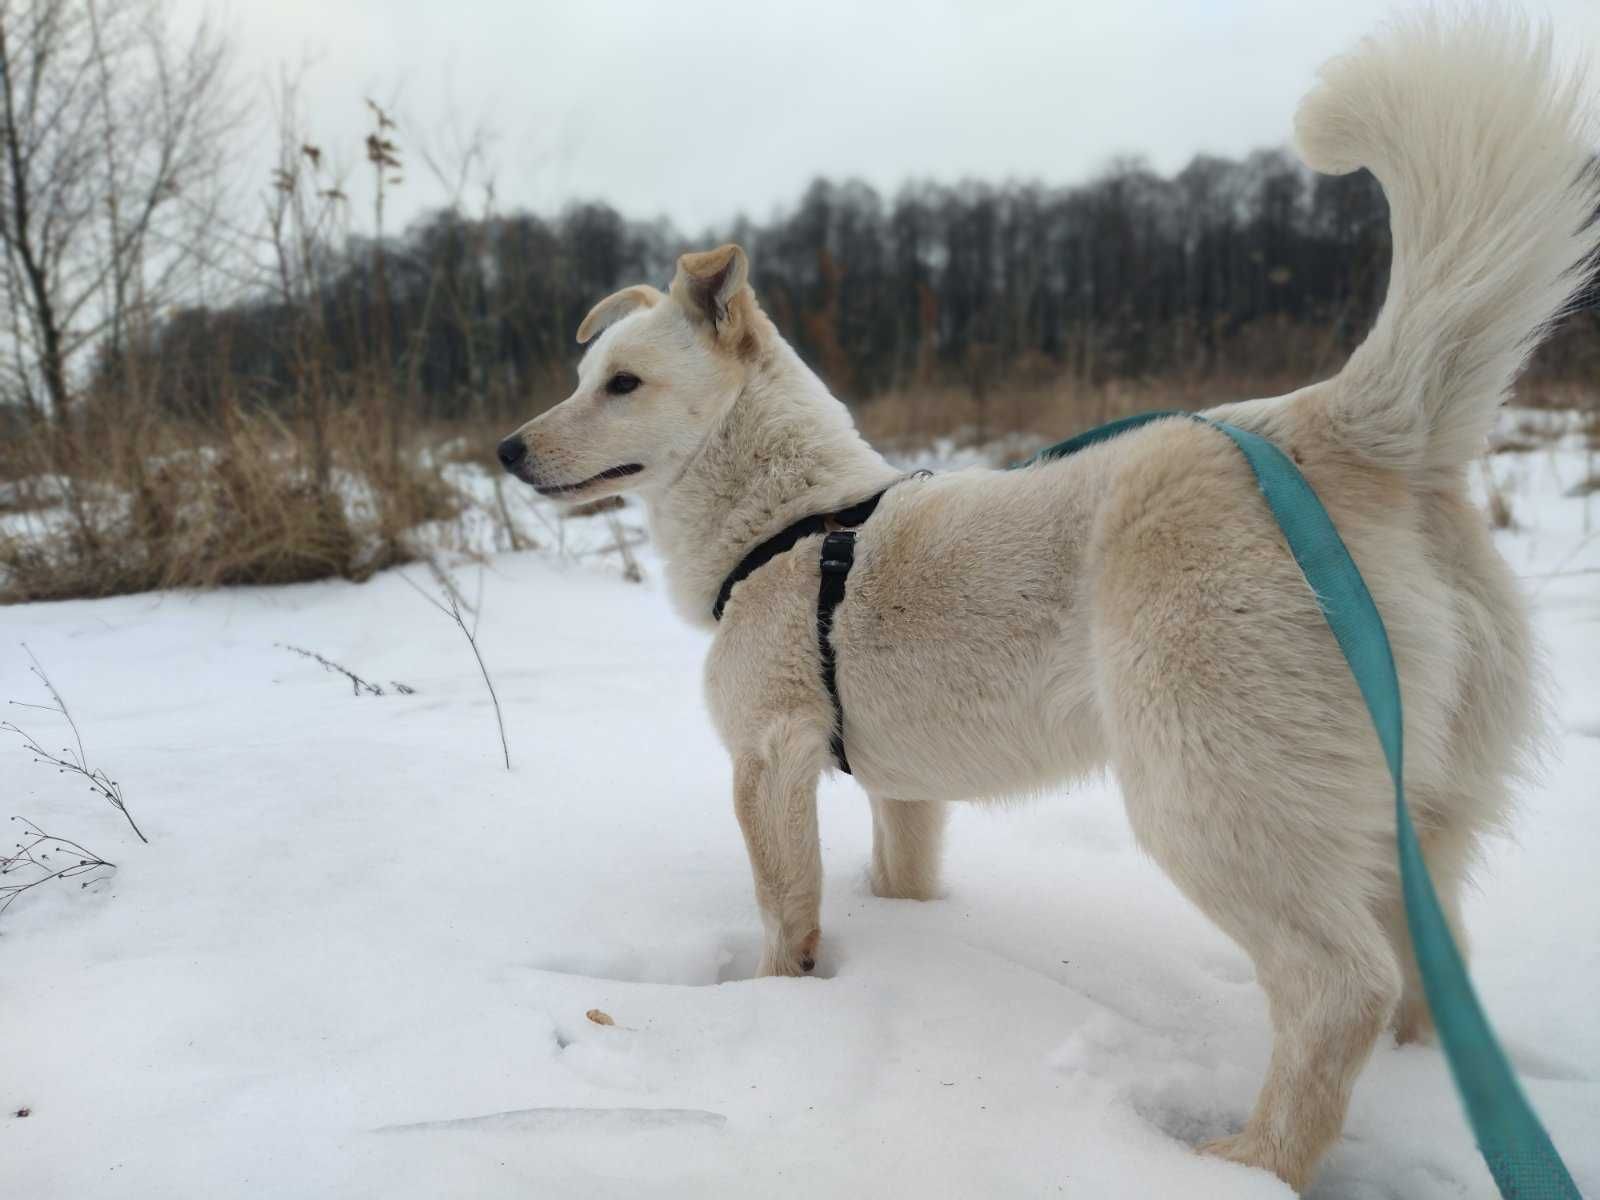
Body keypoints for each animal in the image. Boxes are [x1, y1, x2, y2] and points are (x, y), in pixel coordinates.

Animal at [499, 11, 1600, 1196]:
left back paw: (1251, 1161)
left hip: (1207, 795)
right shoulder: (904, 793)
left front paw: (776, 1006)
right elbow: (898, 881)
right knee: (1428, 978)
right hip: (1409, 825)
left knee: (1338, 986)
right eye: (585, 376)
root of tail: (1349, 428)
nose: (506, 450)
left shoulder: (767, 760)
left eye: (622, 385)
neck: (789, 521)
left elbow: (783, 915)